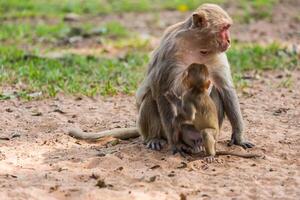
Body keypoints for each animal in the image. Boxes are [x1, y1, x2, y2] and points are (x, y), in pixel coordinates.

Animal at [68, 3, 253, 152]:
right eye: (224, 28)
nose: (229, 41)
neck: (197, 46)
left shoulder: (217, 55)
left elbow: (225, 89)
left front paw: (238, 138)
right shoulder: (171, 51)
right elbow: (162, 91)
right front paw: (175, 144)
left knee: (215, 94)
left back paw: (203, 141)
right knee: (151, 98)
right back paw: (156, 139)